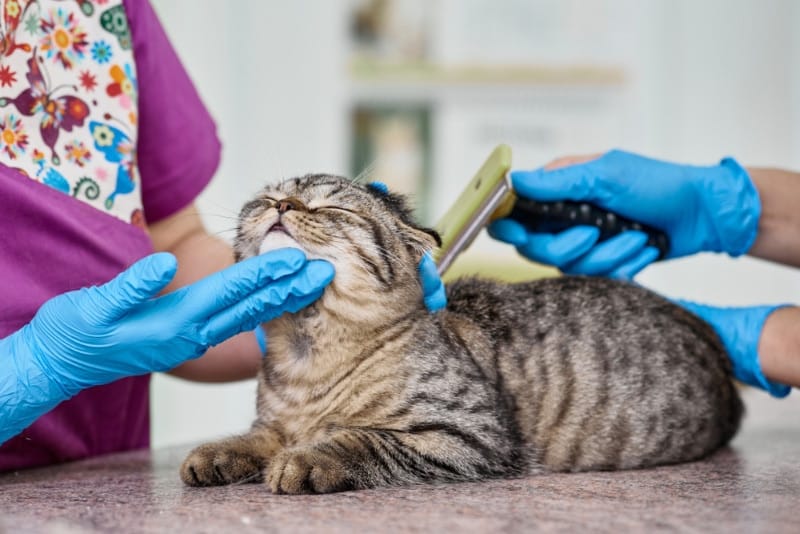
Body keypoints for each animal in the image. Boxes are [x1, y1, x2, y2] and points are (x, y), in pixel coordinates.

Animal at [180, 174, 744, 496]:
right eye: (267, 198)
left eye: (332, 209)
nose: (282, 207)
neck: (308, 355)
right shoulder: (275, 422)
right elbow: (258, 438)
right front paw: (220, 453)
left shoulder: (468, 435)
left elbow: (361, 439)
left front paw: (309, 458)